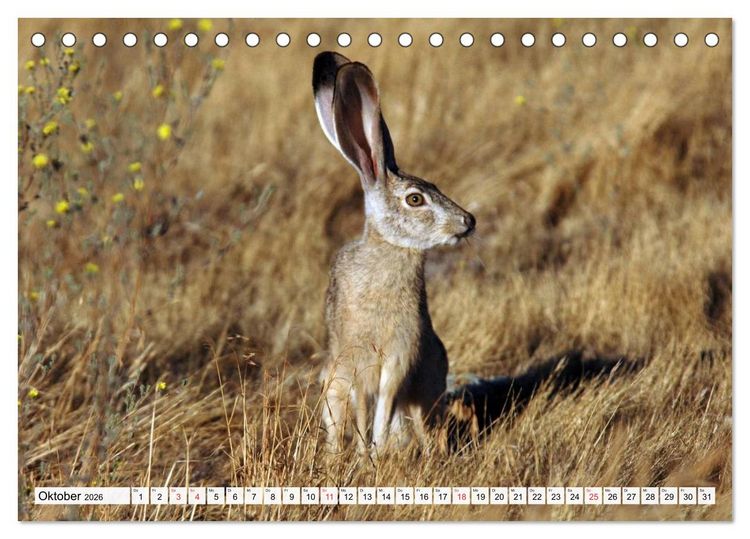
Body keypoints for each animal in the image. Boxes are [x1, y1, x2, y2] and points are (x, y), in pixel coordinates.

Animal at [312, 51, 476, 458]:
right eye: (415, 199)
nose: (468, 221)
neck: (390, 247)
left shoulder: (401, 355)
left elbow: (385, 402)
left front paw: (376, 451)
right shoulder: (356, 359)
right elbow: (363, 405)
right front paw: (364, 455)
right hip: (332, 383)